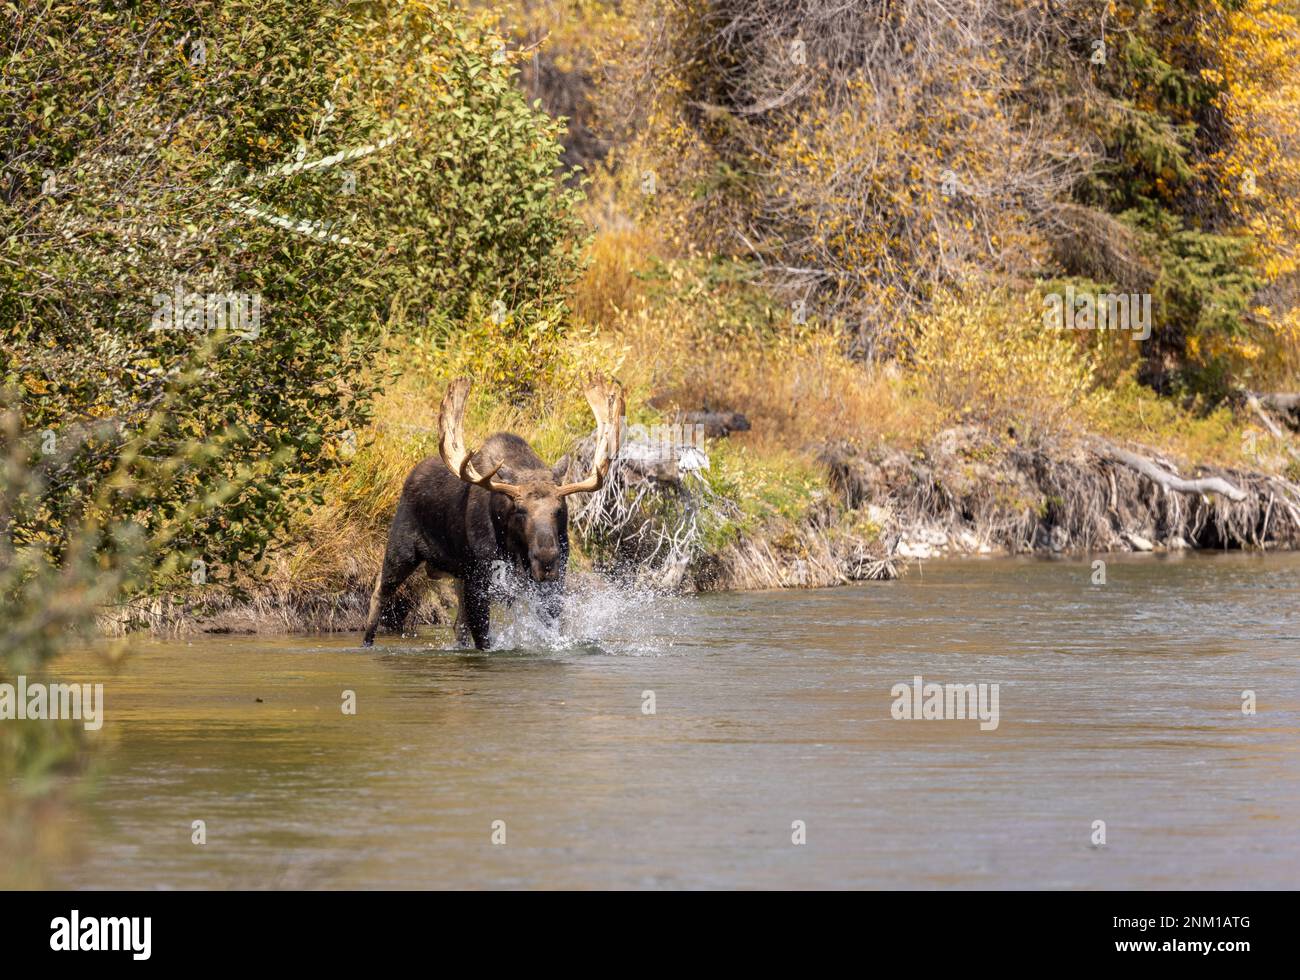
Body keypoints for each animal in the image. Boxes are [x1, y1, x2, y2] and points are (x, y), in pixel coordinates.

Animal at [362, 376, 625, 649]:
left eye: (560, 509)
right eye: (519, 510)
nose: (547, 558)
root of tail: (410, 476)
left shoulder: (554, 584)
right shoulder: (479, 580)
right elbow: (484, 640)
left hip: (458, 575)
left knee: (458, 626)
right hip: (401, 551)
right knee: (379, 593)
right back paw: (367, 642)